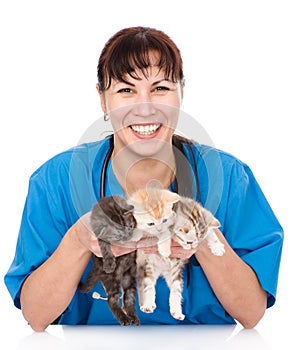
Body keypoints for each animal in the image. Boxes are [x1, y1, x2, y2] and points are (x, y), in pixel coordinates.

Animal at [78, 196, 140, 326]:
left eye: (129, 227)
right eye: (117, 235)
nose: (127, 238)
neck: (111, 208)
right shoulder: (96, 231)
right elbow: (103, 244)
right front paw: (109, 262)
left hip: (129, 279)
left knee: (129, 298)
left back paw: (133, 316)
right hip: (112, 279)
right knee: (111, 299)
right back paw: (124, 319)